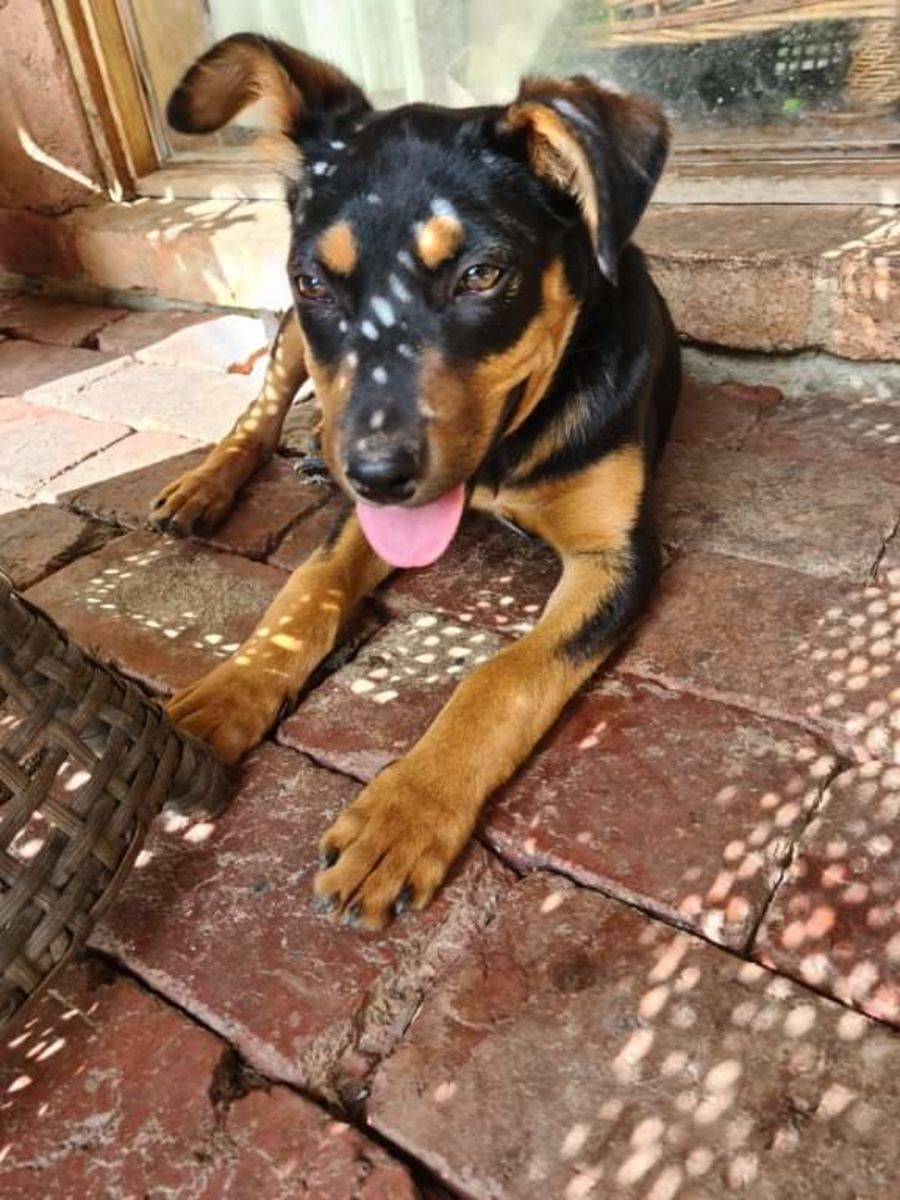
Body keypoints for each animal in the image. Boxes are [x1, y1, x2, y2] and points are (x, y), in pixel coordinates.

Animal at [151, 34, 681, 929]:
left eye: (481, 276)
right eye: (315, 280)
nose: (374, 475)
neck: (505, 457)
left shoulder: (619, 557)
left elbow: (504, 675)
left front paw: (405, 813)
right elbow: (303, 593)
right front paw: (224, 697)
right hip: (291, 344)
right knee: (263, 407)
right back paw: (212, 482)